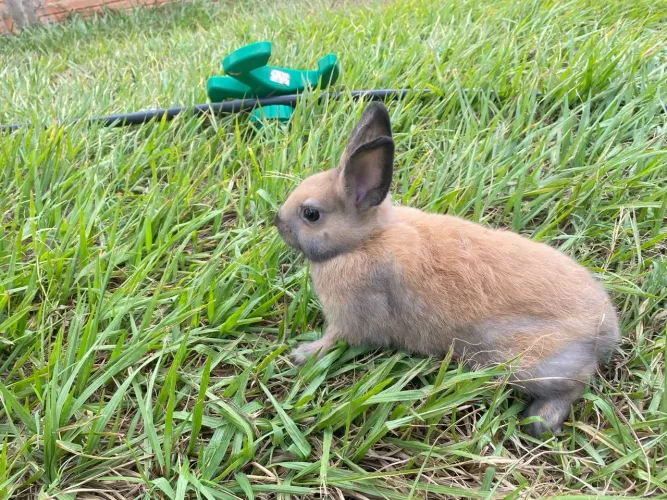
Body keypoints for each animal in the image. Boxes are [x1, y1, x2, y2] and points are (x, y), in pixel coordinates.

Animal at [274, 102, 619, 438]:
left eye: (311, 214)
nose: (277, 221)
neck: (364, 240)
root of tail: (606, 329)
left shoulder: (349, 318)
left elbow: (334, 339)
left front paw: (303, 354)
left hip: (530, 363)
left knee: (574, 385)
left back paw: (539, 423)